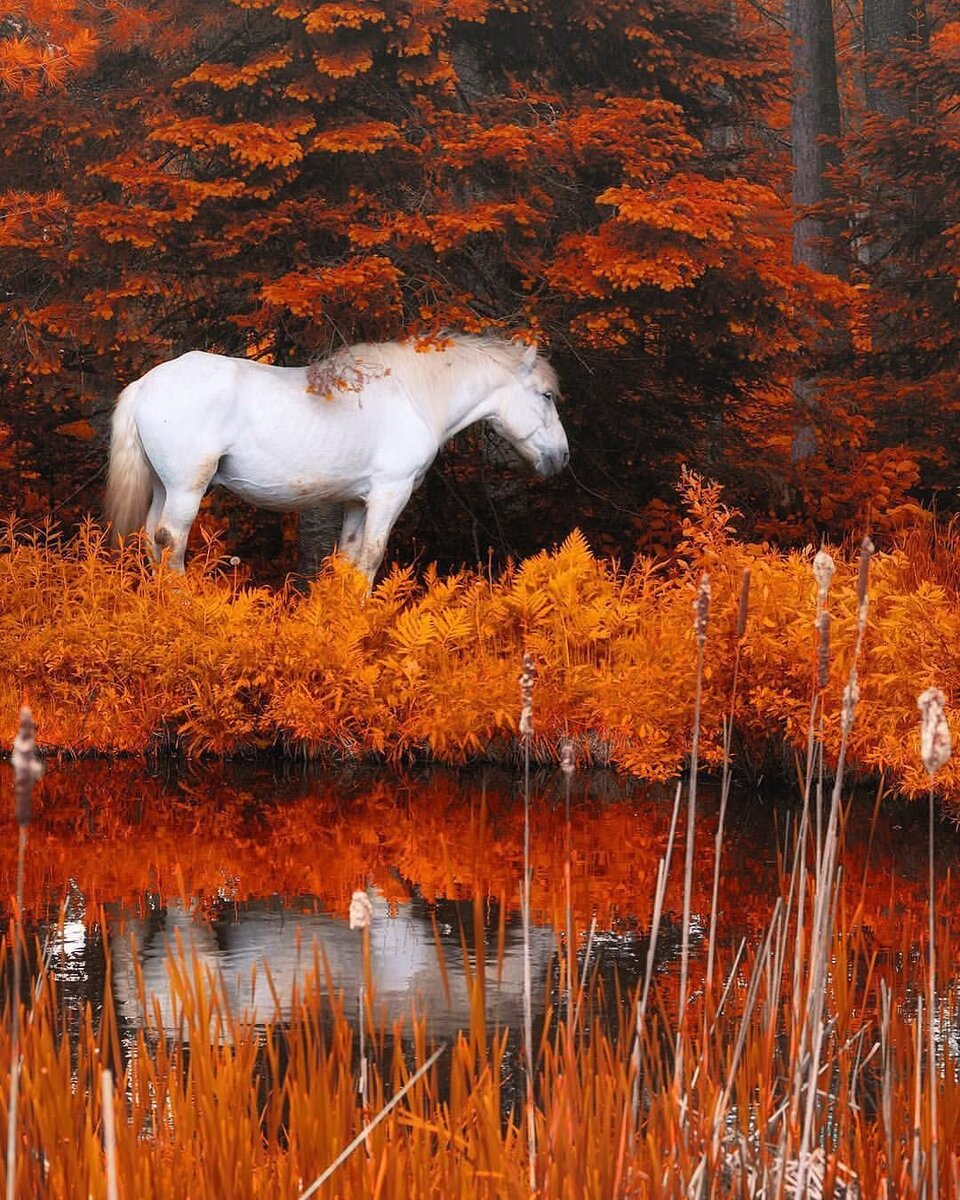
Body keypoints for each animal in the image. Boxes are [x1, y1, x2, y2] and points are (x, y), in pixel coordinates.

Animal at [105, 336, 571, 583]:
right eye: (546, 396)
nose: (561, 457)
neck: (414, 396)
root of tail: (146, 384)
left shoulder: (356, 501)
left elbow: (347, 559)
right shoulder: (390, 493)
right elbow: (371, 557)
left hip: (164, 487)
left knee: (152, 540)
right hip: (187, 488)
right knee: (171, 542)